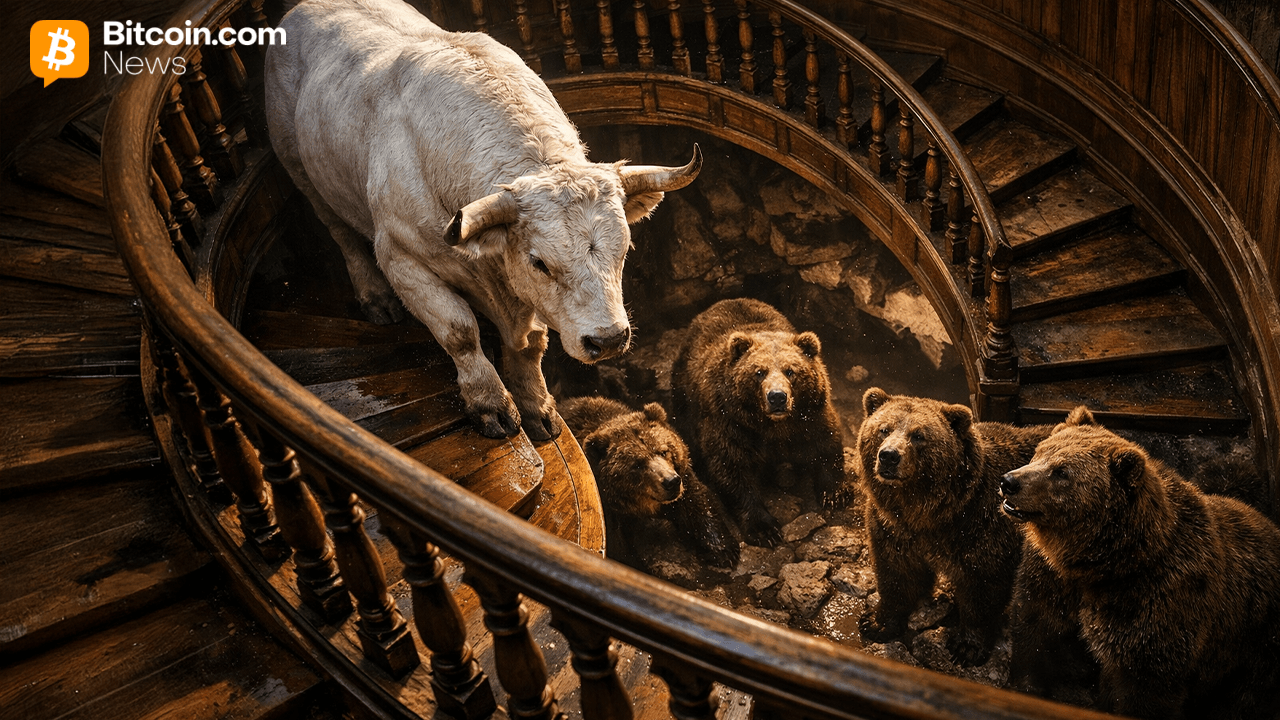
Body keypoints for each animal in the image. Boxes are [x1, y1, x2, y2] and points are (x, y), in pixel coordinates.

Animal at [264, 0, 700, 441]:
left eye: (624, 249)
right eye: (539, 262)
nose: (608, 340)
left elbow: (531, 344)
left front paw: (537, 406)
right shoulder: (401, 259)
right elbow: (459, 331)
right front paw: (490, 403)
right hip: (300, 168)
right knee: (340, 232)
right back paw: (375, 298)